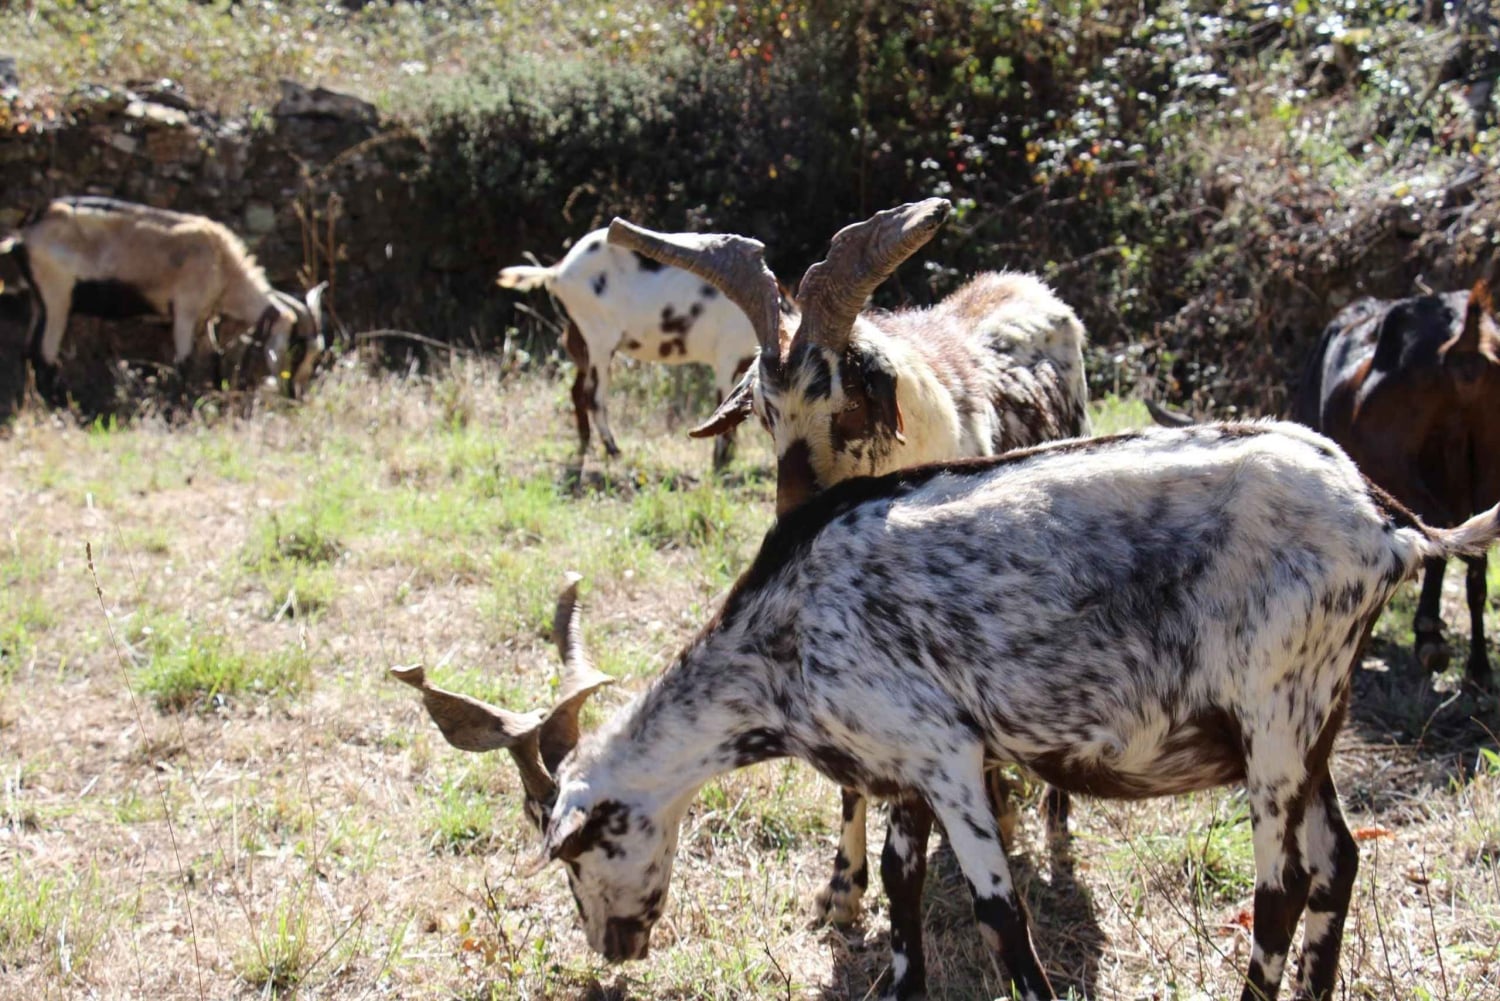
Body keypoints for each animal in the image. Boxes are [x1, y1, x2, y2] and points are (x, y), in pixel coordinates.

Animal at [1, 197, 326, 399]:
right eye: (296, 349)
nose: (295, 395)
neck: (222, 264)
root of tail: (26, 232)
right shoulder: (185, 310)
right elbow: (183, 361)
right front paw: (180, 408)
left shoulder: (204, 319)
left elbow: (213, 356)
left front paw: (215, 396)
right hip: (57, 296)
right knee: (43, 354)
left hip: (39, 302)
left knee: (29, 351)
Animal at [396, 421, 1495, 1001]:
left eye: (576, 849)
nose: (612, 947)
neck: (784, 634)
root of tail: (1390, 524)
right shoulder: (899, 767)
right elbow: (898, 880)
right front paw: (900, 981)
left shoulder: (949, 751)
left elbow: (1001, 915)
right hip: (1317, 720)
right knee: (1340, 858)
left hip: (1275, 707)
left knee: (1282, 881)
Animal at [497, 229, 762, 469]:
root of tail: (557, 271)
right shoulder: (727, 359)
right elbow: (725, 409)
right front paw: (720, 462)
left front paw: (728, 458)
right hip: (600, 342)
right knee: (593, 396)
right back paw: (614, 451)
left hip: (581, 341)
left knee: (576, 392)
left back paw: (585, 446)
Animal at [609, 197, 1089, 928]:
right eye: (764, 414)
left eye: (850, 401)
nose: (795, 518)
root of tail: (1025, 285)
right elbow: (853, 782)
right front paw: (841, 889)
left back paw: (1053, 826)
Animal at [1291, 255, 1500, 688]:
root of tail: (1464, 339)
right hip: (1489, 455)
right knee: (1473, 555)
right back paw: (1477, 666)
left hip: (1392, 460)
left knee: (1437, 524)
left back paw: (1431, 637)